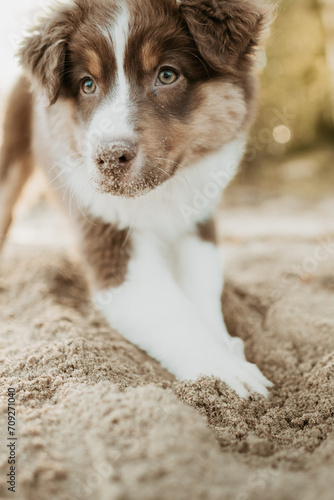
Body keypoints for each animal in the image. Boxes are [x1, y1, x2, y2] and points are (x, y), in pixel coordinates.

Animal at [0, 0, 272, 398]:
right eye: (87, 84)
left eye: (167, 75)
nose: (110, 157)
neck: (157, 196)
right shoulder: (109, 236)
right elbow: (170, 312)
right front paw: (228, 372)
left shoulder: (197, 218)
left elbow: (203, 285)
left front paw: (226, 345)